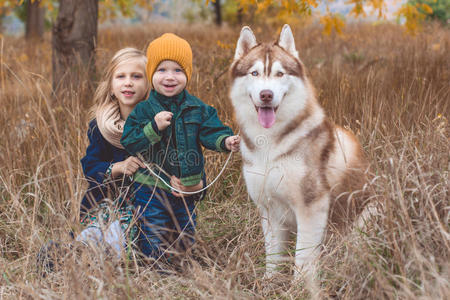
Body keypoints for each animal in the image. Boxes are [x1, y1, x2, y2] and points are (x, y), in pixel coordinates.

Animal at [230, 24, 368, 278]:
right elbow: (273, 256)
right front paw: (270, 281)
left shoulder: (311, 208)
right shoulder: (269, 210)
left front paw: (299, 285)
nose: (266, 95)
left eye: (280, 74)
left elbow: (302, 259)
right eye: (254, 73)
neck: (269, 143)